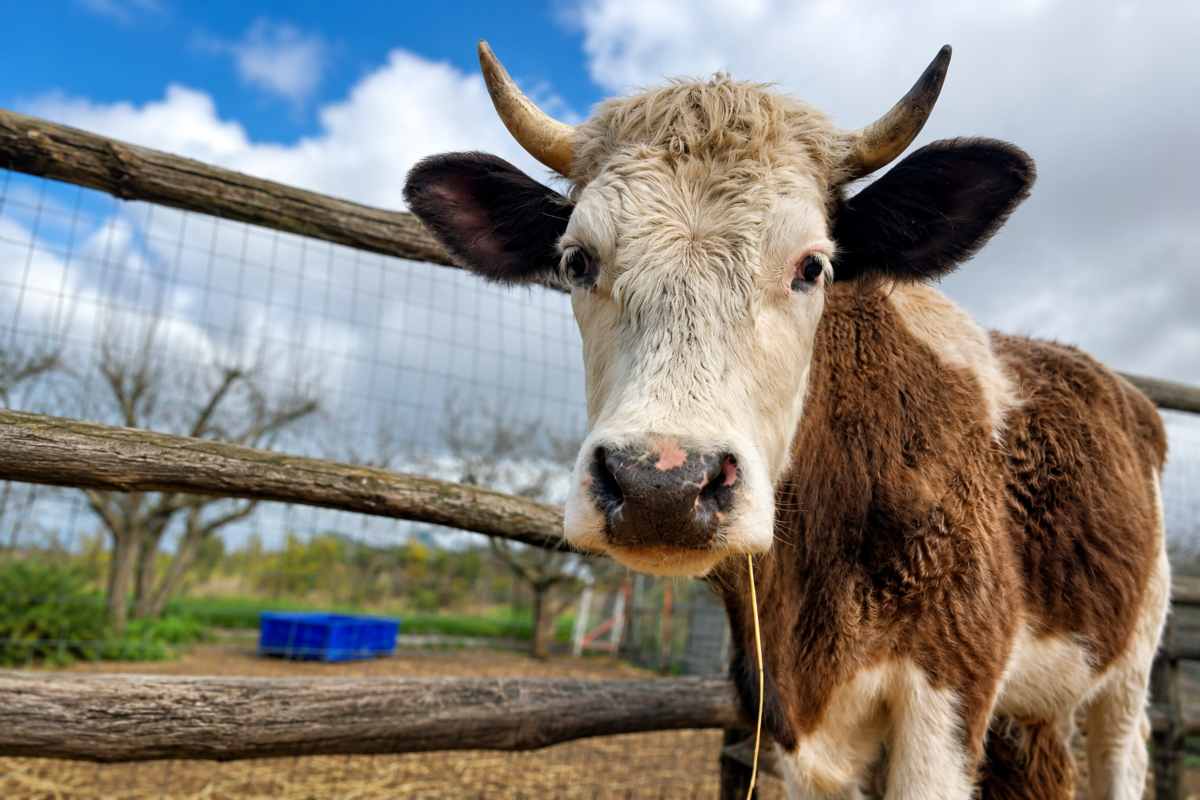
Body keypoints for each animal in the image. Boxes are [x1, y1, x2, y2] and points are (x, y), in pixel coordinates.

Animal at [404, 42, 1169, 799]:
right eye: (575, 259)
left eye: (811, 266)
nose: (662, 487)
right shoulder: (797, 725)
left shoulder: (950, 694)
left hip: (1128, 674)